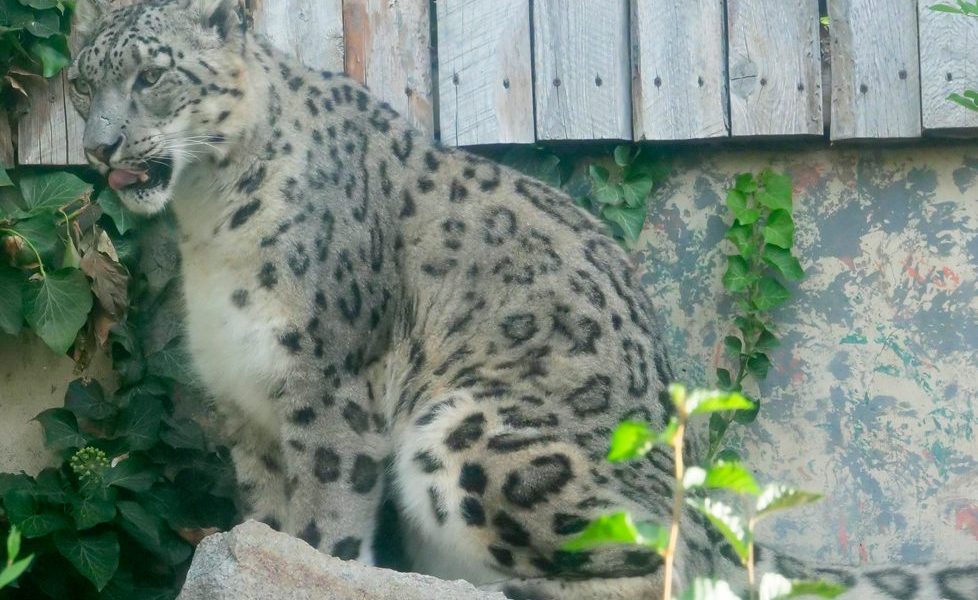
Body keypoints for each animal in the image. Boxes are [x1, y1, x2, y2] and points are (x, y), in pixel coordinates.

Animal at [67, 1, 978, 598]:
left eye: (152, 75)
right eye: (82, 83)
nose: (101, 146)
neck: (206, 216)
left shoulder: (328, 386)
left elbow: (325, 524)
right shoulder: (247, 408)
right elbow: (267, 522)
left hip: (473, 431)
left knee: (663, 567)